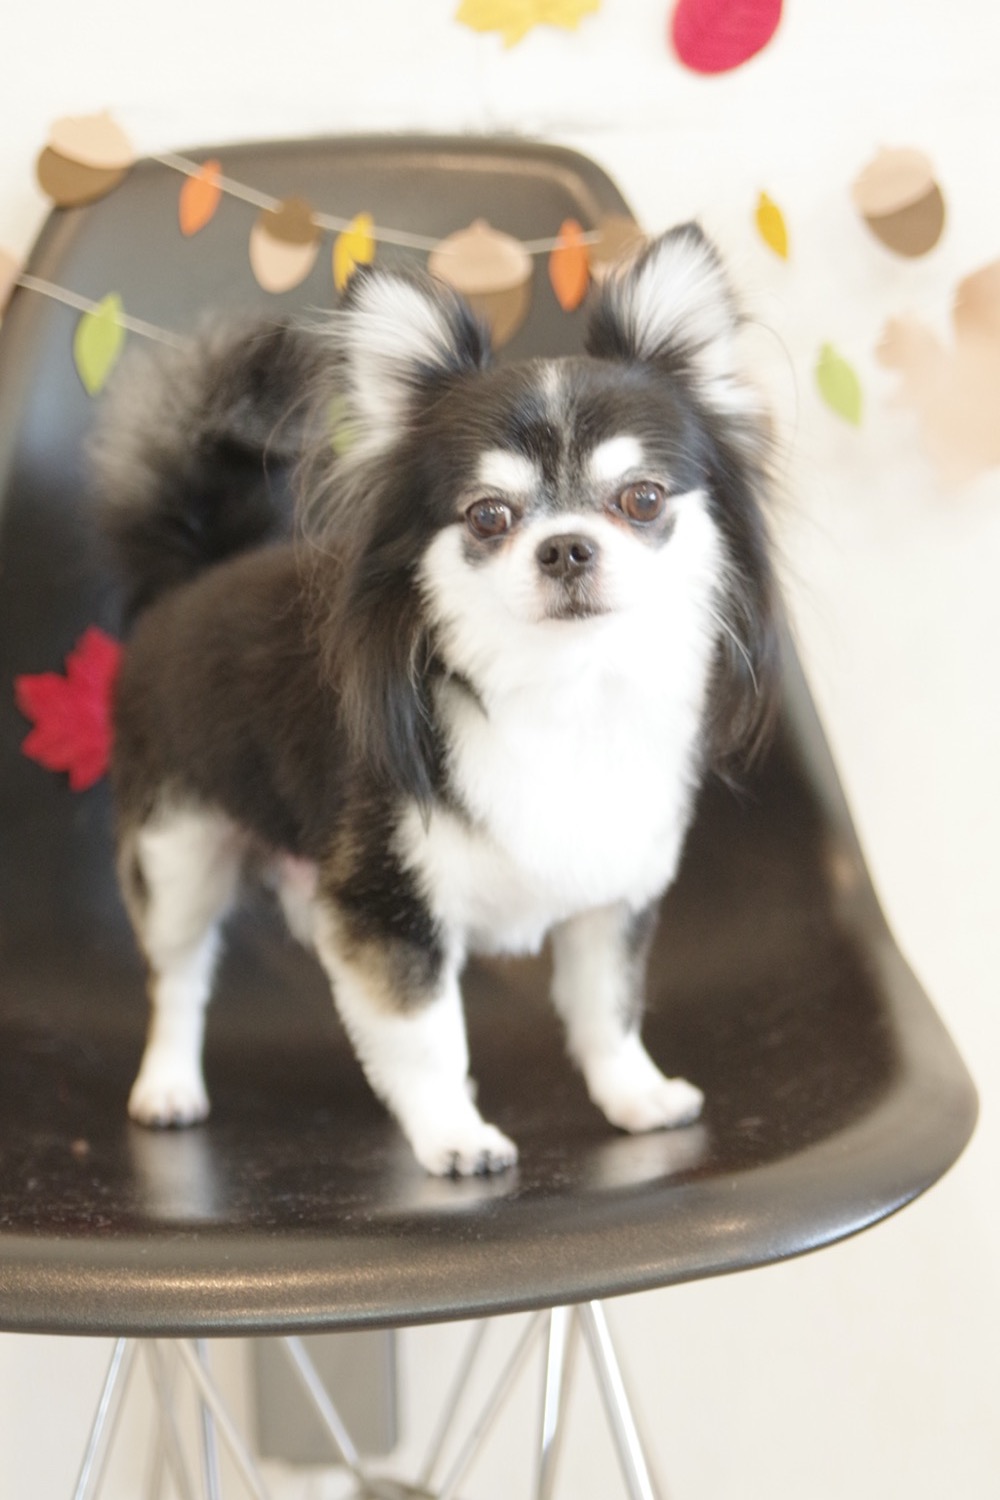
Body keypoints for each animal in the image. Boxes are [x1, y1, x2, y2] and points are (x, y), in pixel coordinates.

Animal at [91, 224, 778, 1176]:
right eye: (488, 516)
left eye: (641, 499)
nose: (566, 547)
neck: (561, 692)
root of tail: (191, 576)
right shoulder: (387, 911)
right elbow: (426, 1036)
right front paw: (454, 1137)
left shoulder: (611, 899)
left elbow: (608, 1010)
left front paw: (635, 1096)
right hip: (176, 850)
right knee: (179, 978)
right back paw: (167, 1088)